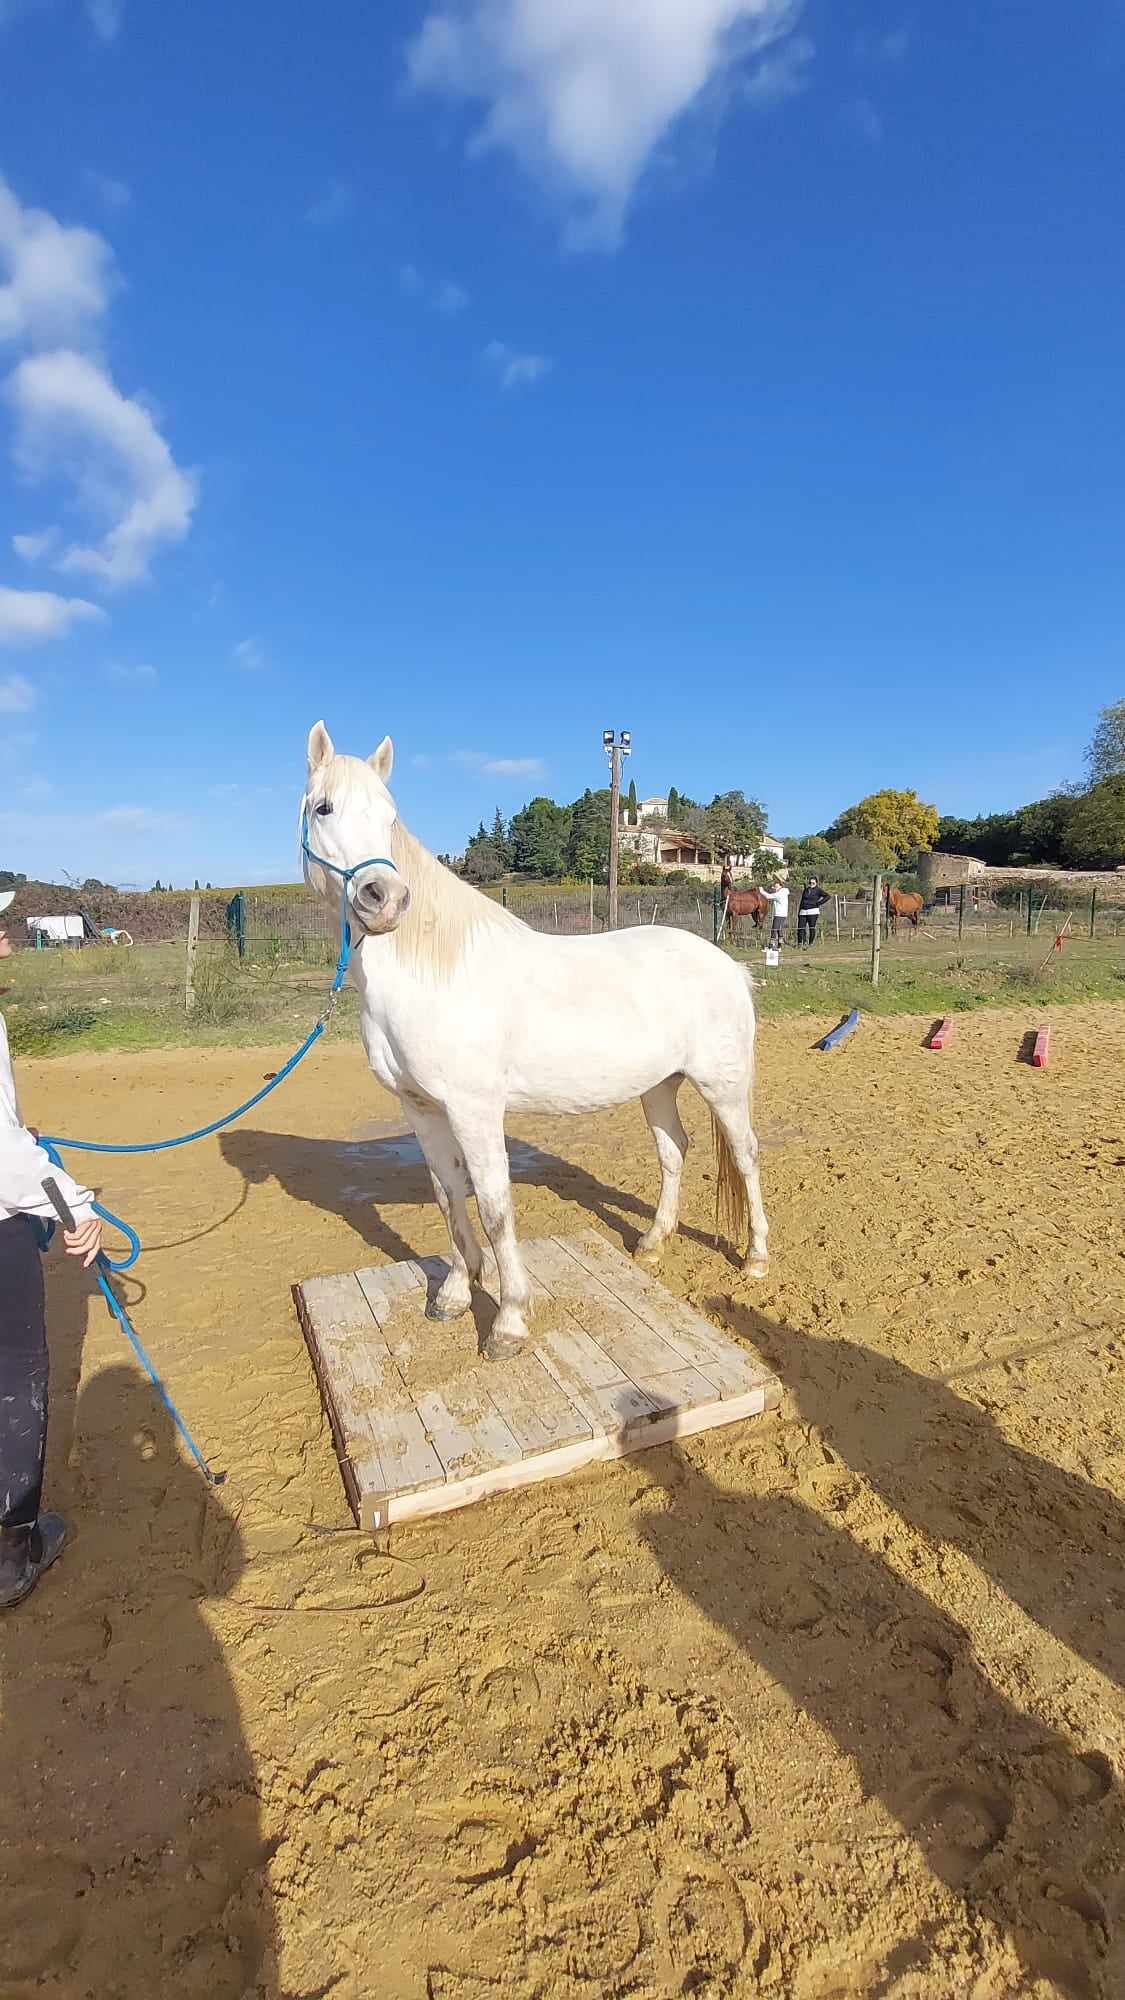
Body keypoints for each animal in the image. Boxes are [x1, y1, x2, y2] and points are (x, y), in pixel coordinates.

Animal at [300, 728, 768, 1368]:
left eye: (390, 818)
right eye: (323, 808)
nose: (385, 898)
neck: (431, 972)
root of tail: (728, 964)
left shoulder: (474, 1111)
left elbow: (495, 1208)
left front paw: (509, 1323)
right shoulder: (421, 1110)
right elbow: (449, 1197)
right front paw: (453, 1294)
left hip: (723, 1084)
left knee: (745, 1155)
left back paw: (756, 1259)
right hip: (658, 1086)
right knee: (674, 1151)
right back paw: (652, 1243)